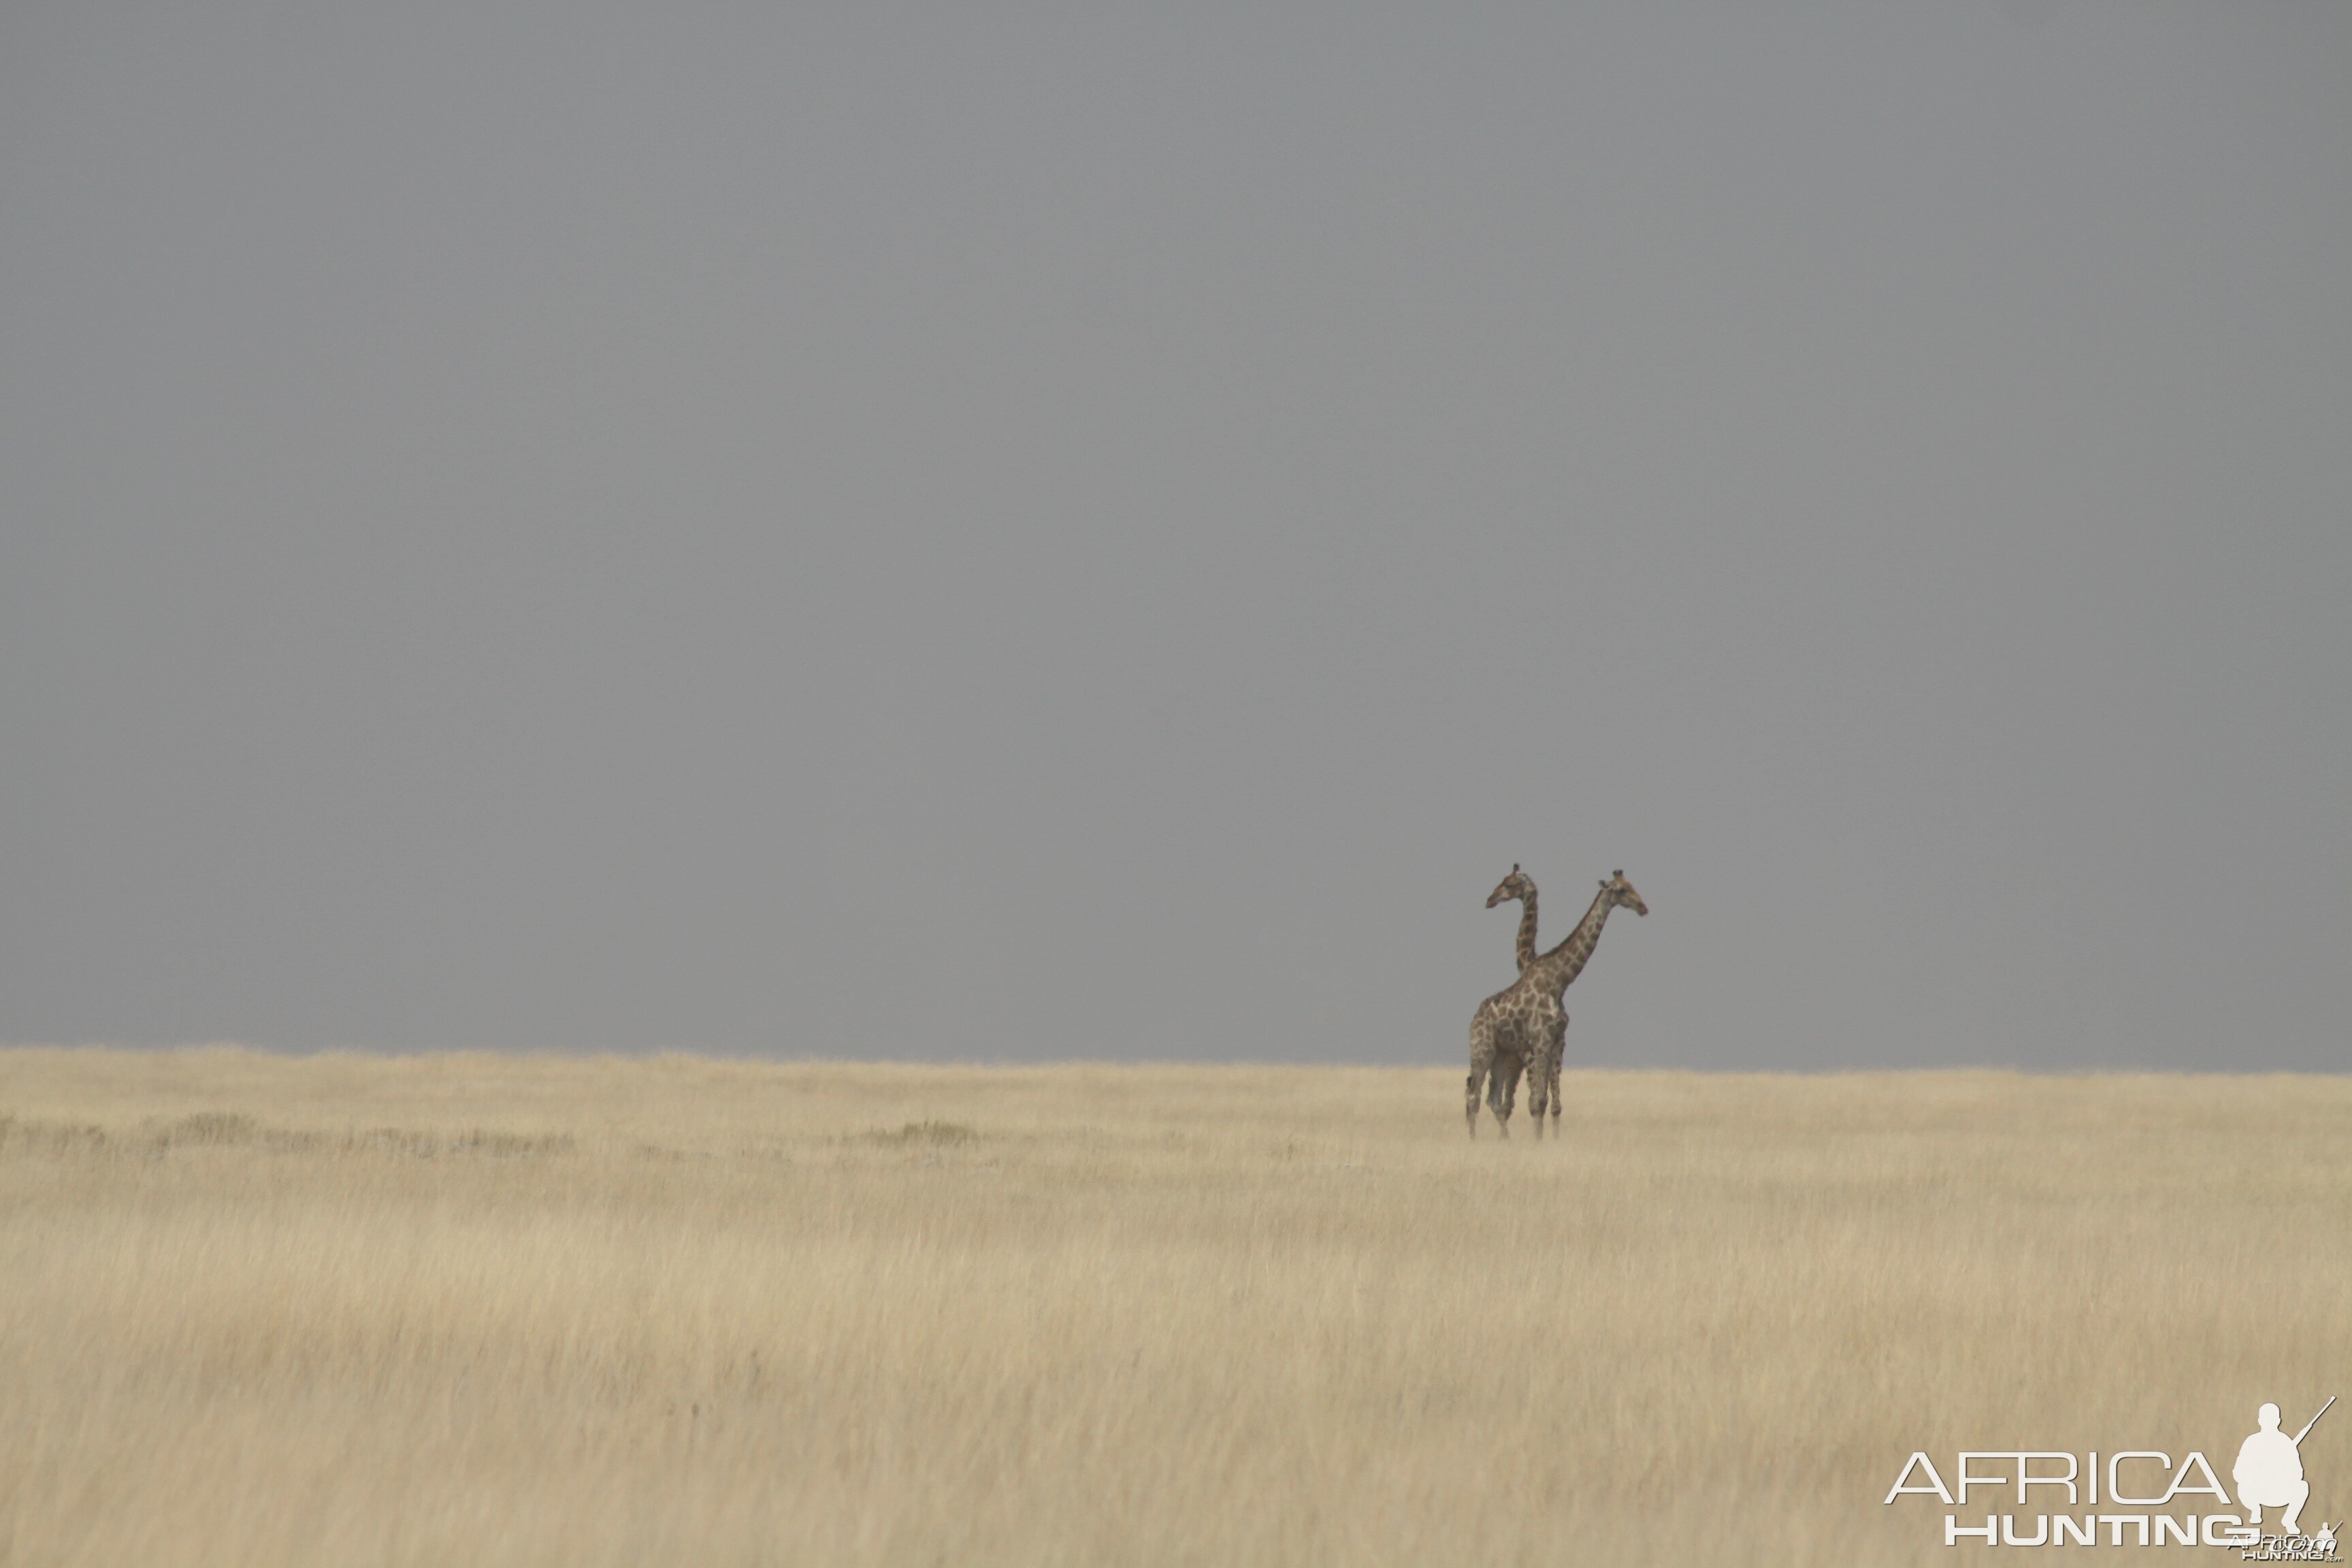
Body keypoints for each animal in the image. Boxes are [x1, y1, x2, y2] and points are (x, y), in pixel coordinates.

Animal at [1458, 870, 1646, 1142]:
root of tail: (1474, 1018)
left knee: (1493, 1099)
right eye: (1621, 890)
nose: (1643, 907)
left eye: (1631, 886)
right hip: (1482, 1049)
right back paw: (1474, 1142)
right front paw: (1539, 1142)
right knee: (1474, 1097)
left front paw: (1552, 1141)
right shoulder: (1539, 1042)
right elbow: (1536, 1101)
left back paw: (1504, 1141)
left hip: (1501, 1055)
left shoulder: (1557, 1043)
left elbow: (1552, 1104)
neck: (1559, 982)